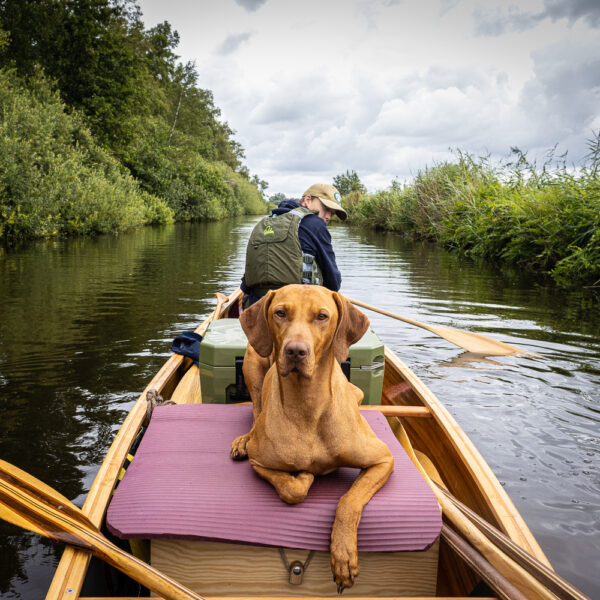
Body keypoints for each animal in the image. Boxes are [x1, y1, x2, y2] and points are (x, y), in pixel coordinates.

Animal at [230, 284, 394, 592]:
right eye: (280, 313)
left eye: (321, 316)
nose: (295, 351)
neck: (308, 406)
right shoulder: (259, 461)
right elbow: (292, 490)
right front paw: (305, 475)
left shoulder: (383, 459)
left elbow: (349, 500)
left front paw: (343, 556)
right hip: (253, 363)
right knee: (255, 409)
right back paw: (243, 439)